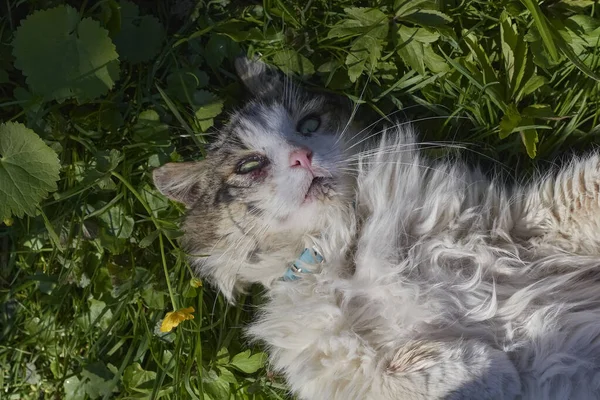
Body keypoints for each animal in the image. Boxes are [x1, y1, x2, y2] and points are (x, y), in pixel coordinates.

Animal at [151, 57, 600, 400]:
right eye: (248, 165)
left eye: (309, 124)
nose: (302, 156)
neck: (340, 242)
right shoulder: (326, 362)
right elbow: (402, 376)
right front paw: (495, 368)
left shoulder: (530, 225)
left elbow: (586, 188)